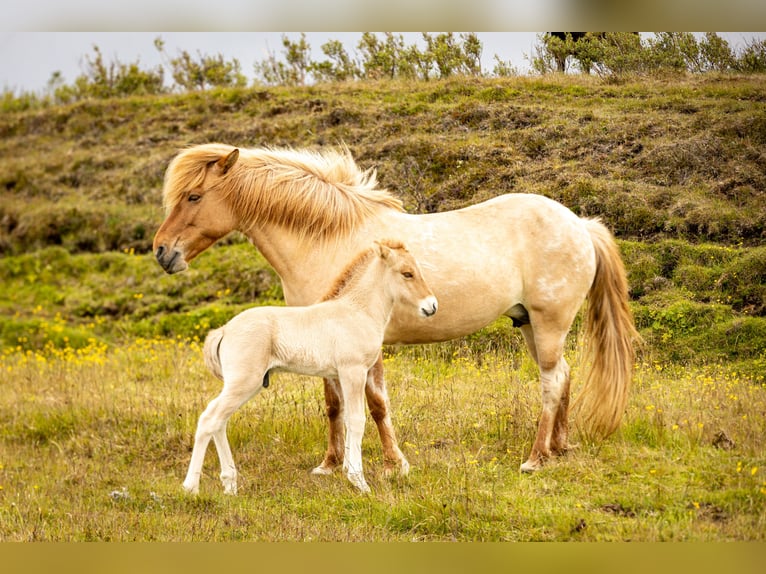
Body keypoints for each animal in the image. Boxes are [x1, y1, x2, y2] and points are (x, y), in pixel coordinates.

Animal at [183, 239, 438, 495]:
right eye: (407, 273)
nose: (432, 306)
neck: (357, 310)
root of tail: (224, 330)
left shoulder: (344, 375)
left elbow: (347, 419)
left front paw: (348, 472)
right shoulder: (353, 371)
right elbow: (357, 420)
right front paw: (359, 481)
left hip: (245, 384)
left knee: (219, 420)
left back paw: (229, 484)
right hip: (245, 382)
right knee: (210, 418)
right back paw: (191, 487)